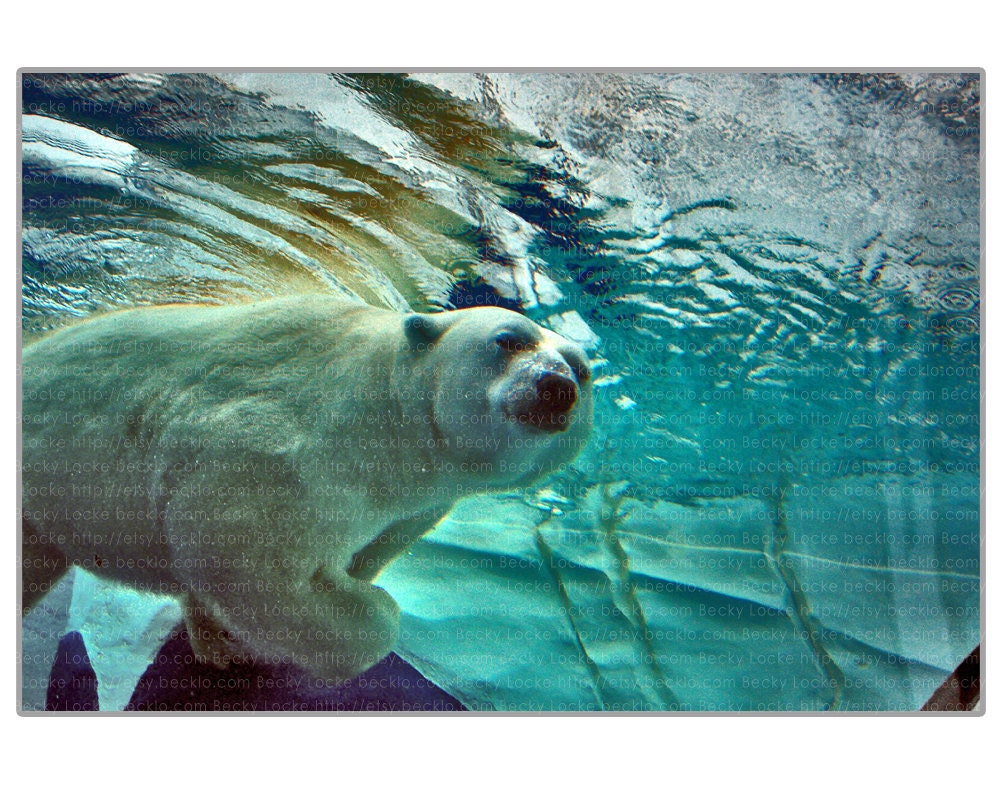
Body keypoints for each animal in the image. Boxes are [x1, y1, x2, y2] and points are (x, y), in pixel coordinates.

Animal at [21, 294, 592, 684]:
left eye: (583, 370)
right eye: (507, 339)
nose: (555, 386)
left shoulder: (420, 503)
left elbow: (373, 546)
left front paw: (222, 638)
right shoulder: (304, 438)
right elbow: (236, 546)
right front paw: (373, 608)